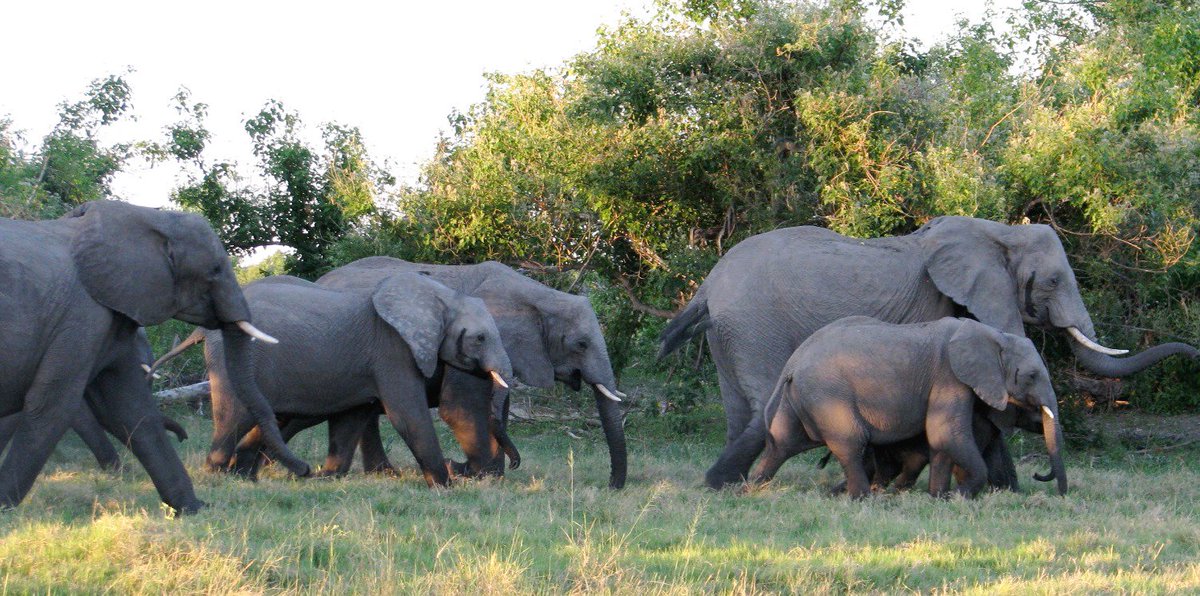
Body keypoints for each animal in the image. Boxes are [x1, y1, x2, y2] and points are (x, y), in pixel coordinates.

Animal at [0, 200, 307, 513]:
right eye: (215, 268)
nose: (306, 470)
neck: (148, 215)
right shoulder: (81, 317)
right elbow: (54, 405)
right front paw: (4, 508)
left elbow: (132, 410)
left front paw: (195, 509)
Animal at [192, 273, 513, 488]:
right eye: (480, 338)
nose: (307, 471)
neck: (441, 296)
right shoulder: (392, 348)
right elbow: (407, 413)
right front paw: (444, 486)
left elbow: (351, 417)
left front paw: (327, 478)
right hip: (230, 361)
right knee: (236, 414)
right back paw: (217, 474)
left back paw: (244, 477)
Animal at [316, 257, 629, 488]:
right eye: (581, 344)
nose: (610, 486)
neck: (540, 294)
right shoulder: (473, 340)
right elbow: (462, 407)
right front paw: (477, 474)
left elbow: (495, 410)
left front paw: (489, 474)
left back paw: (384, 473)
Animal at [750, 316, 1067, 499]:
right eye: (1031, 376)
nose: (1039, 476)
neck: (993, 334)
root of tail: (794, 360)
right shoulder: (949, 375)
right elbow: (945, 432)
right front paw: (960, 496)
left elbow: (941, 441)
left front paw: (938, 497)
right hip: (827, 396)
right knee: (851, 444)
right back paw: (864, 498)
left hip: (803, 397)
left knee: (782, 442)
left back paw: (751, 489)